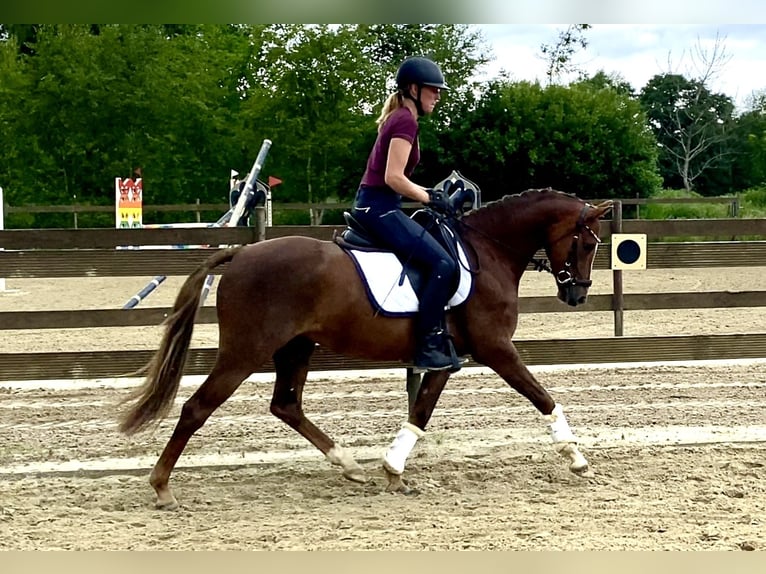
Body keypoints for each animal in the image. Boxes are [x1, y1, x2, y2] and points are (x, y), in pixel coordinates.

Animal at [117, 188, 616, 508]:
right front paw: (577, 458)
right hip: (245, 352)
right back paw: (162, 487)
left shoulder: (446, 359)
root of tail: (240, 254)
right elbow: (543, 397)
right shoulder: (496, 349)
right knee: (197, 408)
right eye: (587, 244)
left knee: (286, 406)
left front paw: (393, 469)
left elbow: (420, 413)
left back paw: (348, 464)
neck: (487, 252)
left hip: (296, 348)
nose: (578, 294)